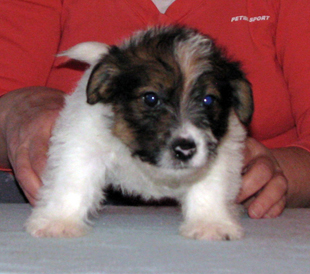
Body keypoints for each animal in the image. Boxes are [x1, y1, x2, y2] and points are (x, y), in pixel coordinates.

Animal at [24, 25, 252, 240]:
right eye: (150, 98)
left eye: (208, 100)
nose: (185, 150)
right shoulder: (84, 144)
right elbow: (73, 180)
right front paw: (59, 221)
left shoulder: (221, 154)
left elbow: (210, 186)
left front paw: (211, 223)